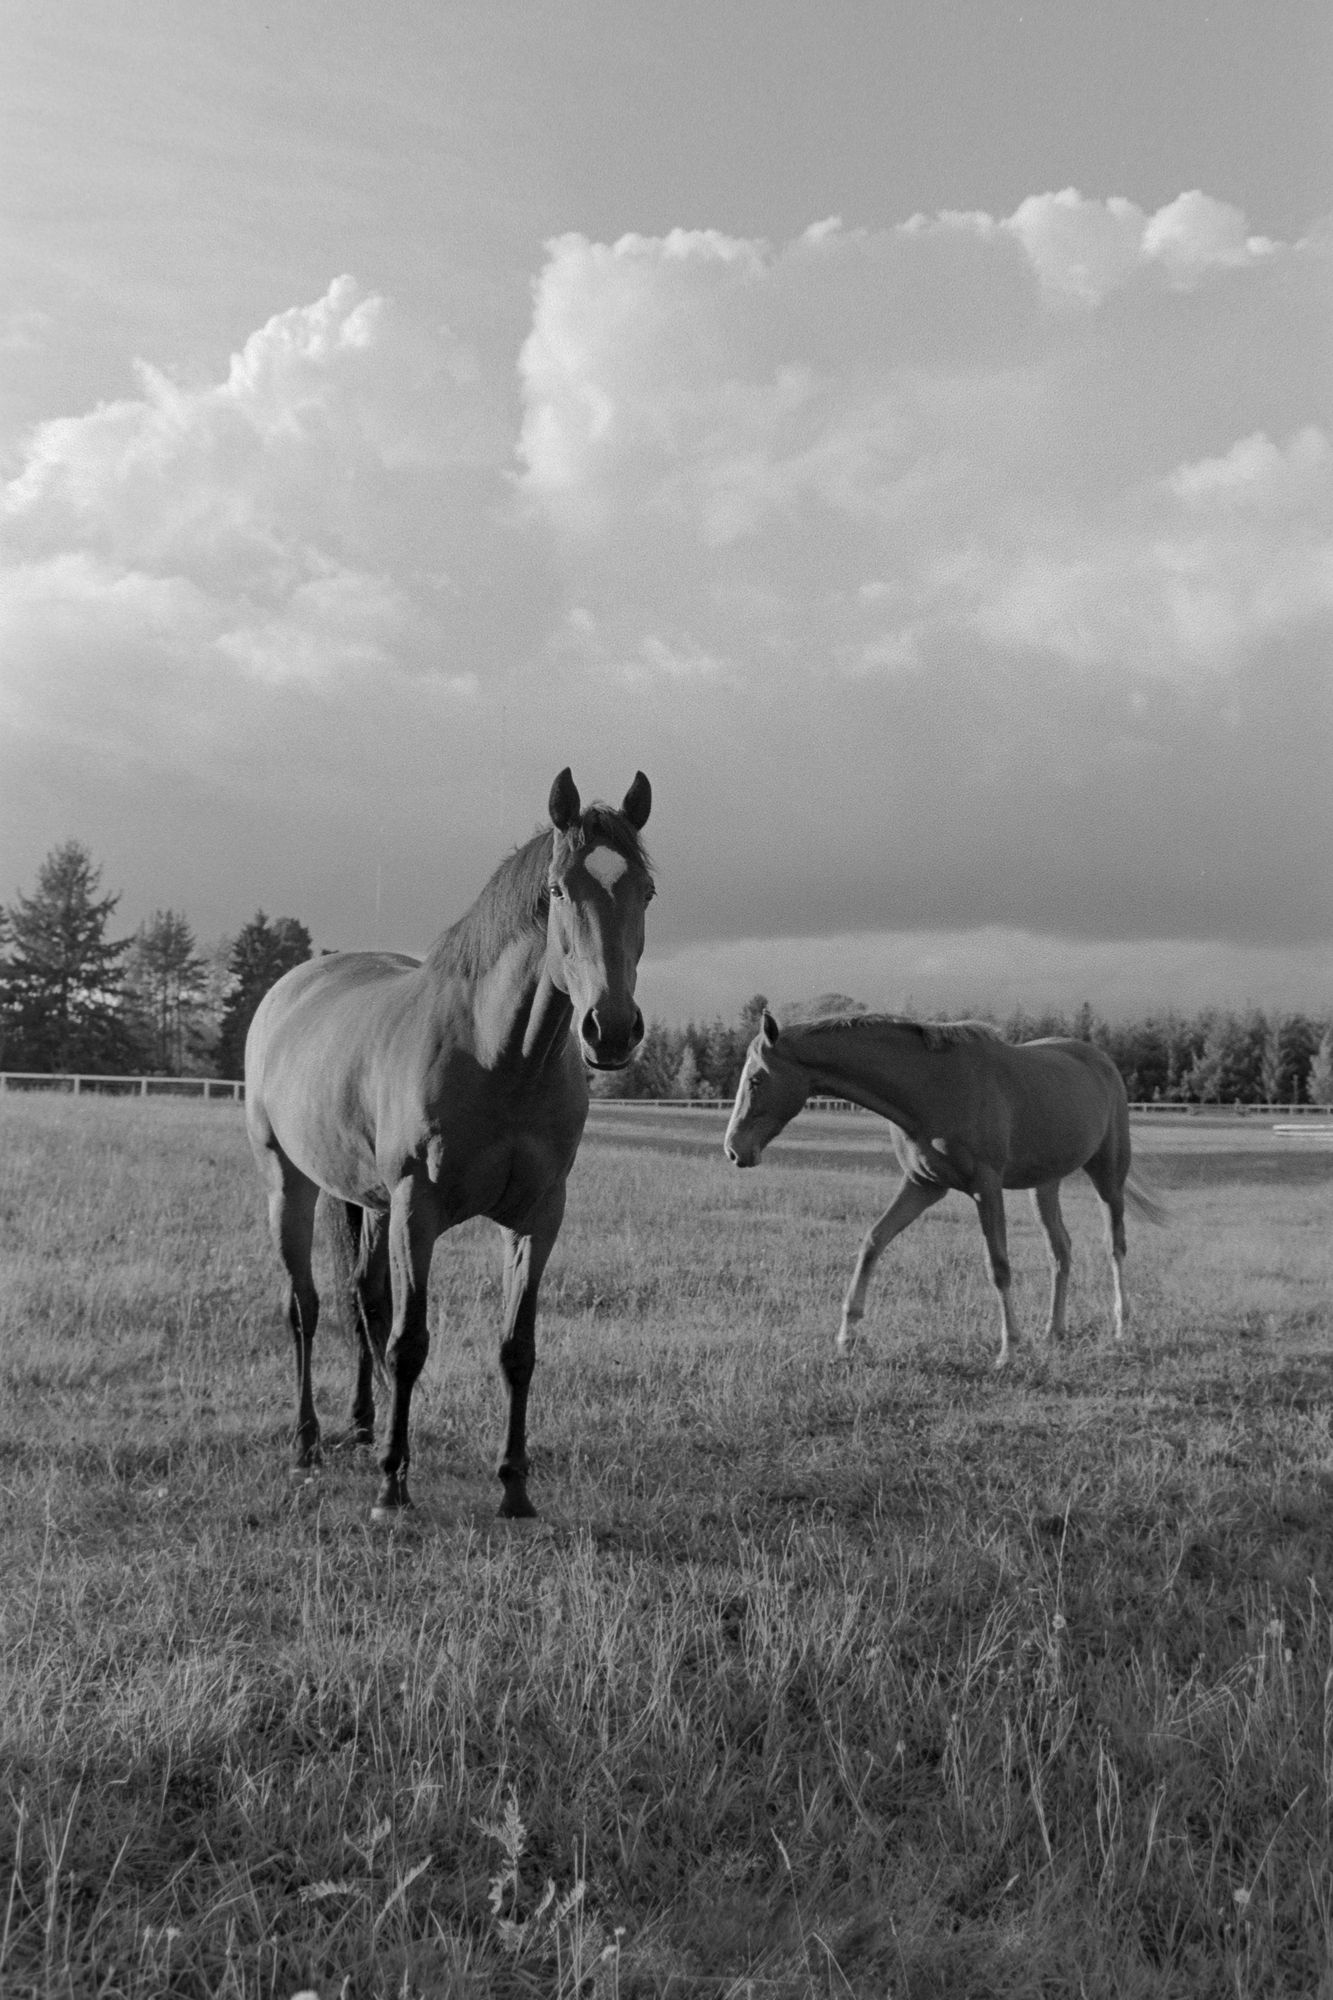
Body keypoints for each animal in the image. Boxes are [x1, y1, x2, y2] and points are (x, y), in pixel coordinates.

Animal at [244, 768, 653, 1520]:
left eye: (645, 891)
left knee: (361, 1297)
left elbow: (516, 1347)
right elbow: (408, 1343)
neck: (499, 1056)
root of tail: (292, 988)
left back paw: (364, 1426)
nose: (610, 1030)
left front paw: (513, 1487)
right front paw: (392, 1489)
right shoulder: (418, 1209)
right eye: (559, 890)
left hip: (370, 1202)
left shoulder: (537, 1218)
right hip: (289, 1184)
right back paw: (307, 1444)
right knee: (305, 1309)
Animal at [723, 1010, 1165, 1366]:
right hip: (1045, 1184)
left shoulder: (986, 1187)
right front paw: (847, 1336)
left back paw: (1121, 1327)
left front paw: (1009, 1348)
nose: (733, 1149)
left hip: (1108, 1175)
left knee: (1114, 1244)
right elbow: (872, 1242)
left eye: (757, 1080)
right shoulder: (923, 1186)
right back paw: (1053, 1332)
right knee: (1060, 1250)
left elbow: (998, 1265)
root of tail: (1100, 1061)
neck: (932, 1087)